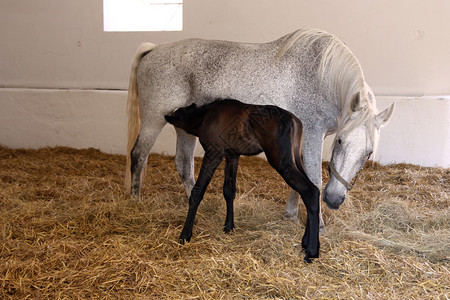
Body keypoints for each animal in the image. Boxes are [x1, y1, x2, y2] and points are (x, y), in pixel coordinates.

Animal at [123, 28, 394, 230]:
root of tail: (153, 50)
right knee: (139, 155)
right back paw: (135, 200)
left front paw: (291, 213)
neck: (323, 77)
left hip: (185, 128)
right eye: (340, 141)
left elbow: (301, 175)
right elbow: (314, 177)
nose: (334, 199)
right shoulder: (313, 134)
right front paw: (317, 223)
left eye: (368, 153)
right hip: (153, 120)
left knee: (182, 164)